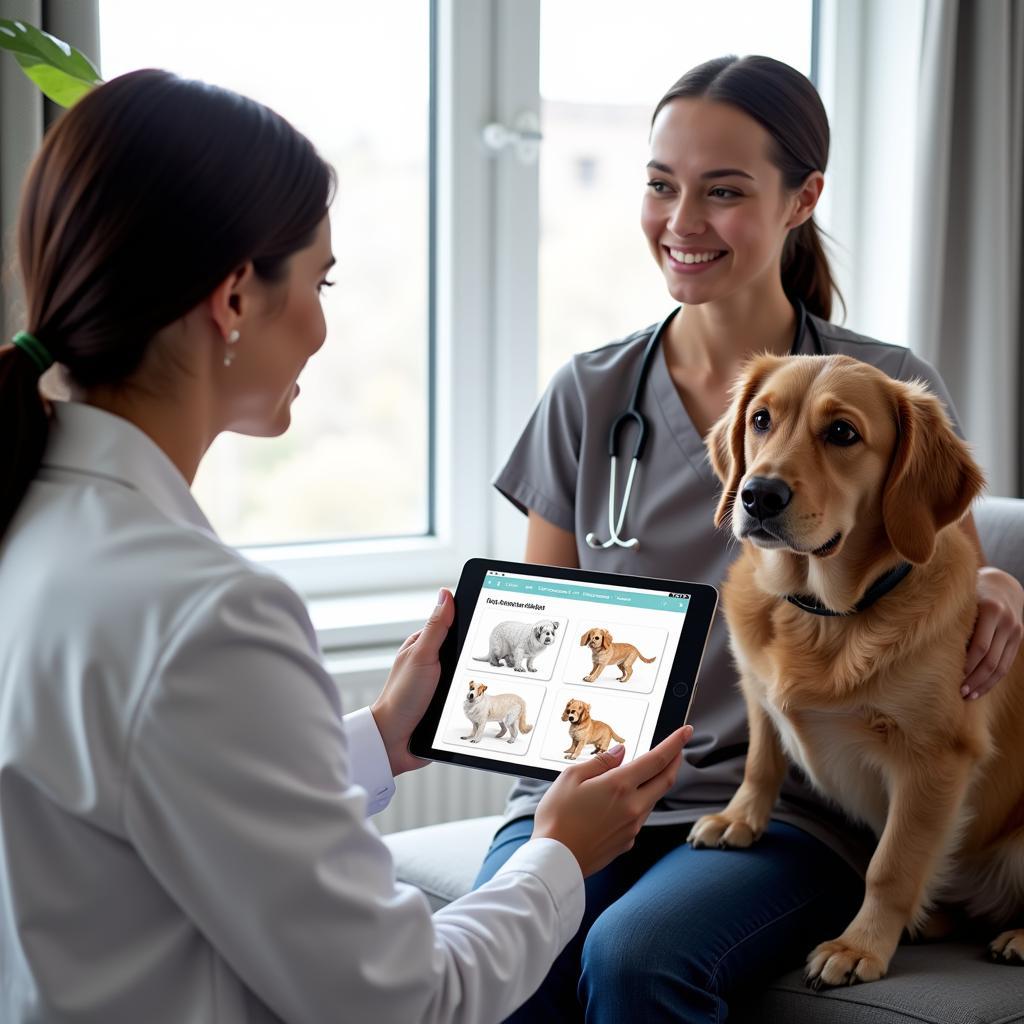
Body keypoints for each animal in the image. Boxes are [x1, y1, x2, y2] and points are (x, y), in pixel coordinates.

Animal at [688, 356, 1024, 987]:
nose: (757, 495)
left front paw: (859, 945)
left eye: (842, 433)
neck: (824, 614)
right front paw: (738, 819)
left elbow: (891, 866)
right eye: (761, 419)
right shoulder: (757, 694)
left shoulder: (934, 760)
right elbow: (760, 762)